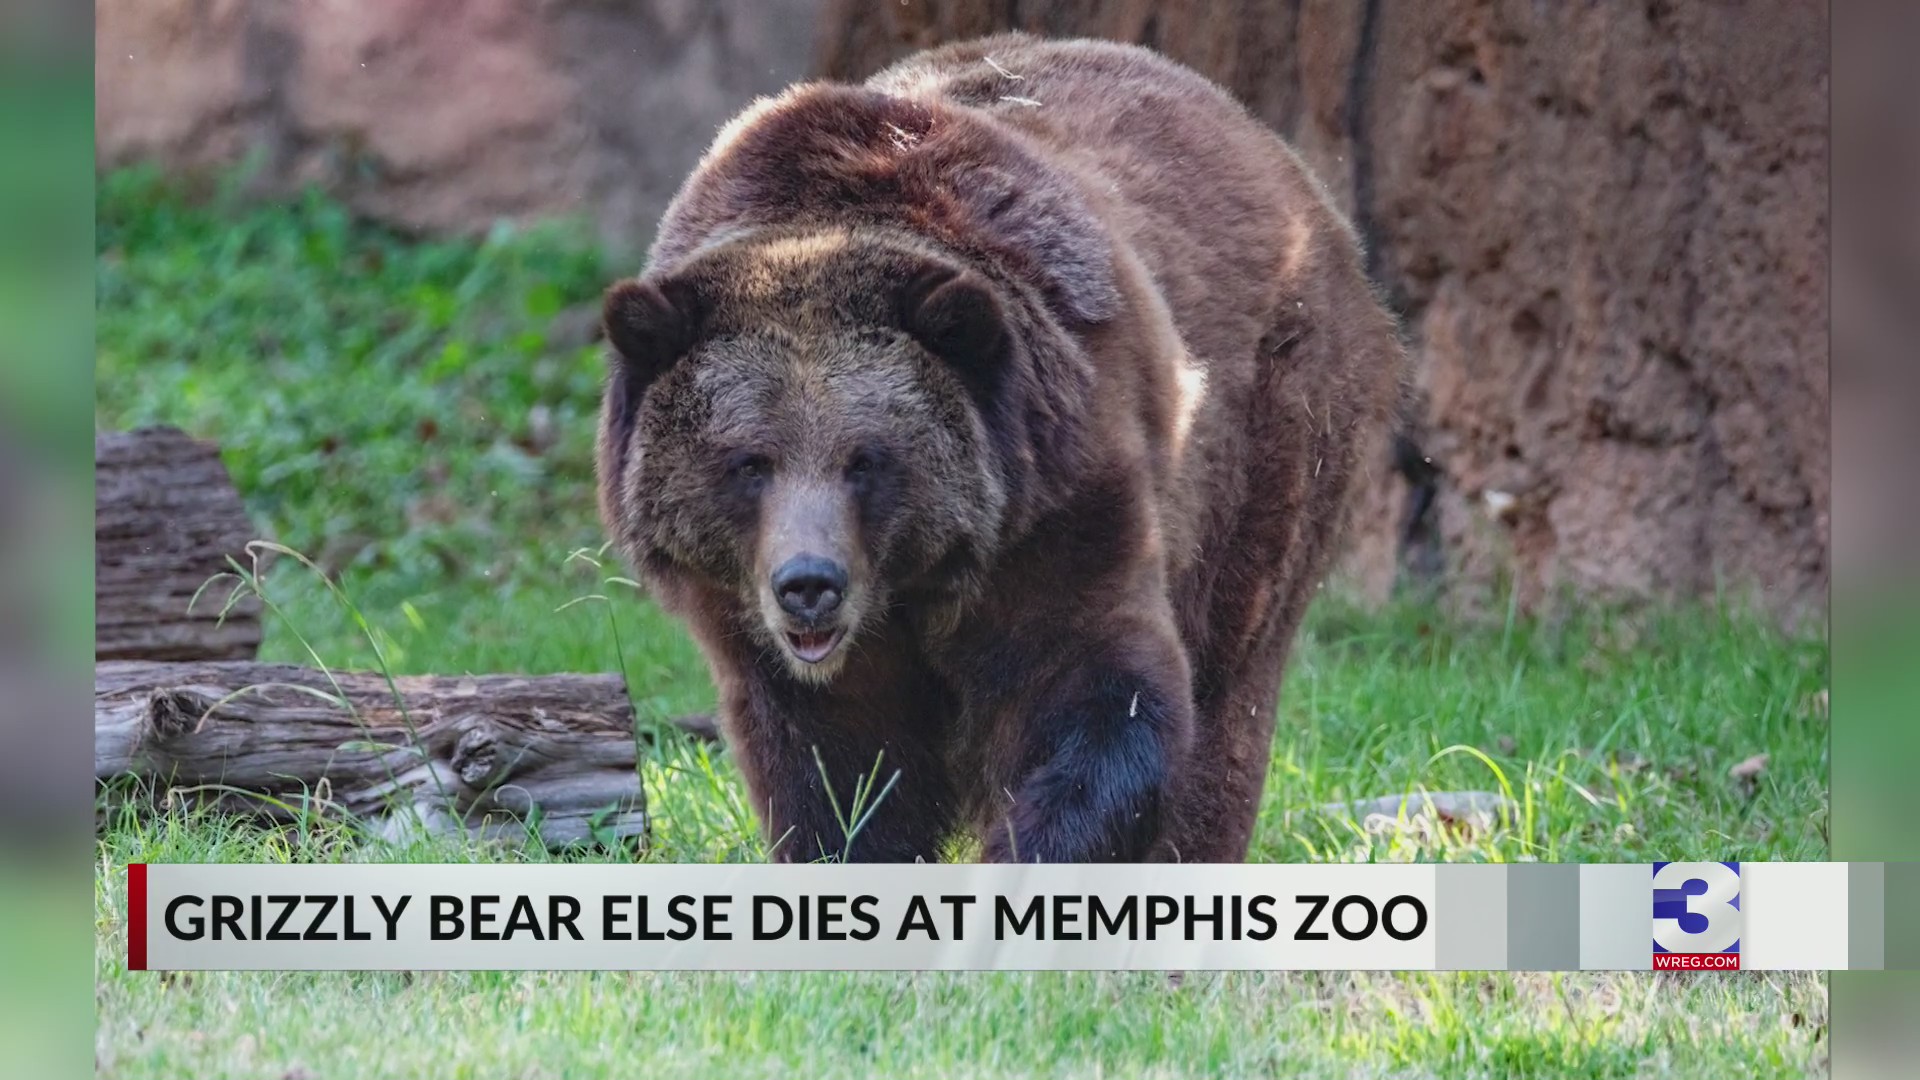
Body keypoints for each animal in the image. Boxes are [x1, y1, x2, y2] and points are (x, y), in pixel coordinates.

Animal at [595, 34, 1405, 863]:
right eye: (749, 462)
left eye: (867, 459)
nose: (809, 584)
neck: (909, 590)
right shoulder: (763, 637)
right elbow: (838, 779)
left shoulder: (1059, 502)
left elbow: (1103, 694)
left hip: (1274, 433)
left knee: (1231, 686)